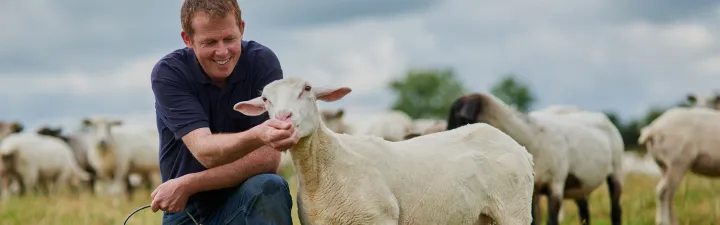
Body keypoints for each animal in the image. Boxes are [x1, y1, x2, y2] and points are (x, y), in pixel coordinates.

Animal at [231, 77, 536, 225]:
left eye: (307, 89)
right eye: (265, 99)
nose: (282, 119)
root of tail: (516, 146)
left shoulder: (378, 218)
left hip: (514, 211)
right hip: (480, 216)